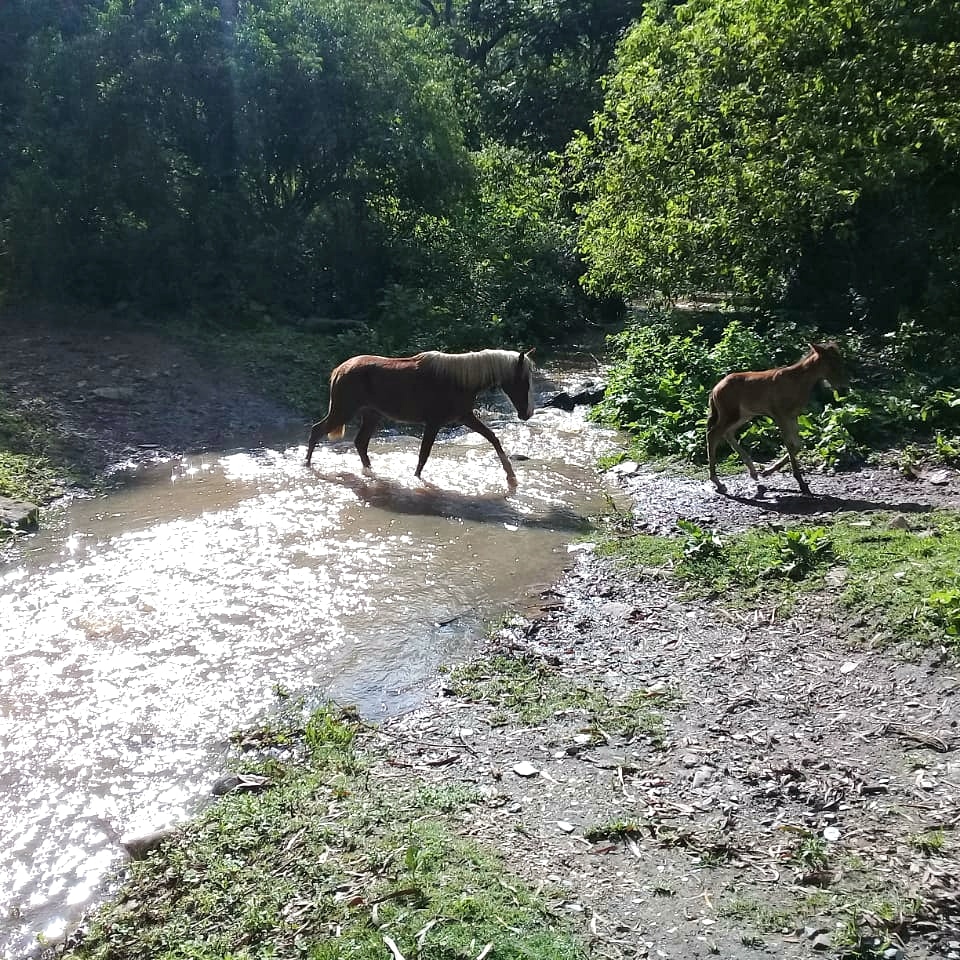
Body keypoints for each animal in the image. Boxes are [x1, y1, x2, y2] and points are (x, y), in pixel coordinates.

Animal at [305, 348, 536, 486]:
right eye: (523, 381)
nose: (527, 413)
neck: (459, 380)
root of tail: (340, 368)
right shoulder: (434, 423)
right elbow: (424, 454)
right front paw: (417, 479)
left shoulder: (465, 417)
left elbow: (493, 438)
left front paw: (511, 477)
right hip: (344, 411)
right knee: (317, 431)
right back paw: (307, 465)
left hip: (371, 414)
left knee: (360, 443)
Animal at [706, 341, 849, 496]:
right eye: (831, 362)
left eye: (840, 360)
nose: (843, 385)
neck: (798, 381)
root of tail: (714, 389)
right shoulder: (779, 415)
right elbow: (790, 444)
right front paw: (801, 483)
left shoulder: (792, 416)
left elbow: (798, 445)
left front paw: (767, 471)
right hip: (730, 414)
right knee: (713, 434)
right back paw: (718, 483)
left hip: (744, 414)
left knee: (727, 433)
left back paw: (753, 472)